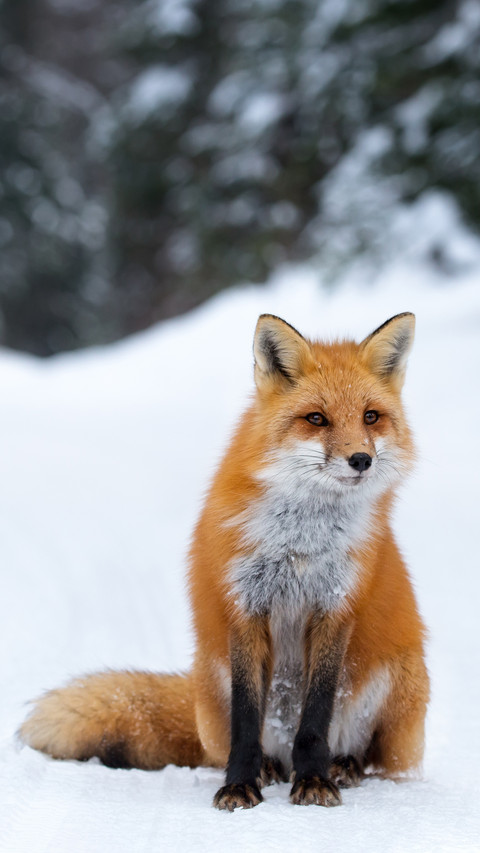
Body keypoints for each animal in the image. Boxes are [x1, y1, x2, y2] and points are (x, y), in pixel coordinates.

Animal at [20, 312, 429, 810]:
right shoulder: (245, 606)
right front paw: (240, 784)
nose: (361, 460)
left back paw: (341, 766)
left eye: (371, 416)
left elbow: (315, 718)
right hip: (211, 679)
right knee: (236, 745)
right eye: (316, 419)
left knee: (374, 760)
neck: (300, 545)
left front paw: (314, 780)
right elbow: (246, 720)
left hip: (400, 680)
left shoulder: (335, 608)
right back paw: (271, 768)